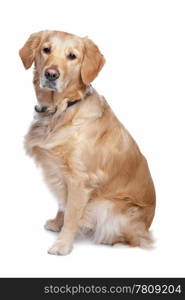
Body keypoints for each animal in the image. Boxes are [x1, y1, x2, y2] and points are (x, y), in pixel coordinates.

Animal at [18, 31, 155, 255]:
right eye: (46, 50)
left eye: (72, 56)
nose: (51, 74)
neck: (61, 110)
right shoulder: (61, 175)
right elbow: (63, 205)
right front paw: (57, 223)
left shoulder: (80, 179)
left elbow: (72, 214)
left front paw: (62, 244)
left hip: (109, 206)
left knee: (136, 238)